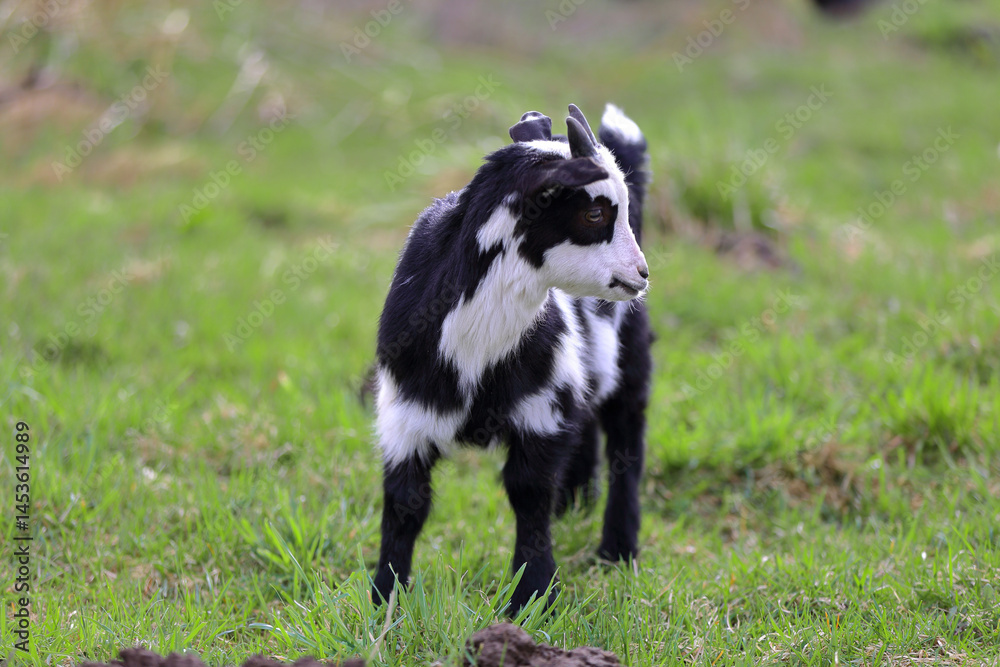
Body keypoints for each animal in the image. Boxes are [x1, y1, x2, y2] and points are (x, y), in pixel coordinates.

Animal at [371, 103, 652, 612]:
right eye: (594, 212)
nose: (641, 274)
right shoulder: (404, 414)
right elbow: (404, 504)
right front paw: (385, 600)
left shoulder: (540, 411)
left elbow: (528, 495)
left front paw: (533, 596)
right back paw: (576, 504)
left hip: (630, 361)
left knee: (626, 446)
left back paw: (617, 549)